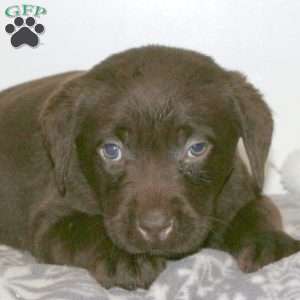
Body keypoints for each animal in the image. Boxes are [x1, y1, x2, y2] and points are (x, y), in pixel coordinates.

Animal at [0, 45, 298, 290]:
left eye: (197, 147)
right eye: (111, 150)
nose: (155, 228)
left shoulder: (241, 188)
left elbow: (261, 210)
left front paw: (269, 243)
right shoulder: (52, 216)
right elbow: (87, 228)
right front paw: (125, 258)